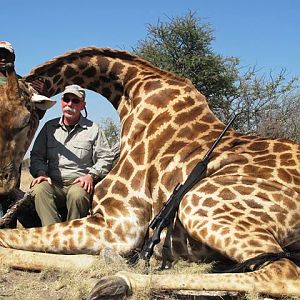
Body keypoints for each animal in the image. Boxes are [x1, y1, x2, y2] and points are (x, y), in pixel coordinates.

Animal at [0, 47, 298, 298]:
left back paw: (119, 282)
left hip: (193, 202)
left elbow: (4, 240)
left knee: (284, 273)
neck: (130, 100)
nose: (4, 183)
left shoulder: (120, 226)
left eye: (26, 120)